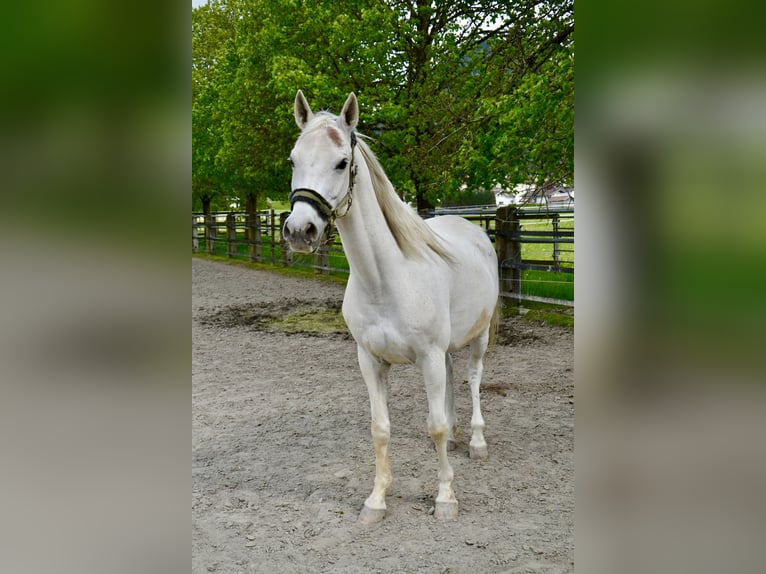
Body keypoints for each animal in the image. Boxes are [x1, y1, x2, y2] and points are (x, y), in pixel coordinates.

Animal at [284, 91, 500, 528]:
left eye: (342, 162)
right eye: (293, 160)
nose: (300, 231)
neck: (385, 279)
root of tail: (473, 229)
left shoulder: (428, 357)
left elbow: (434, 426)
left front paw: (445, 497)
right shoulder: (370, 360)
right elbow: (380, 429)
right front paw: (377, 499)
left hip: (480, 337)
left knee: (473, 378)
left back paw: (476, 440)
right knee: (454, 380)